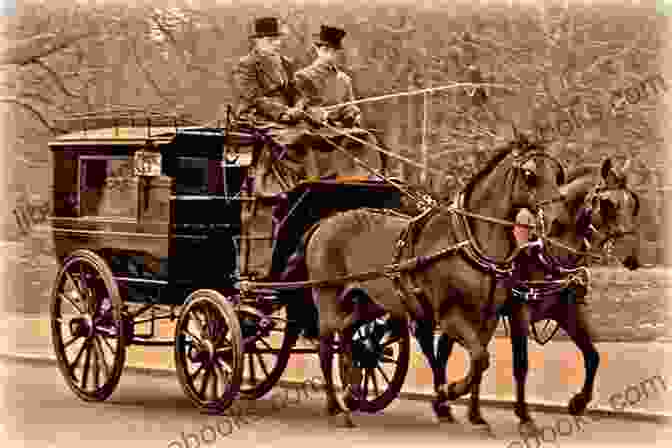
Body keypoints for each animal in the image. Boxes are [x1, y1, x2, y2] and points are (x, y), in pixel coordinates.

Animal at [304, 134, 568, 428]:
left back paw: (351, 391)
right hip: (327, 298)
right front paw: (449, 391)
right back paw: (336, 407)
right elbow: (478, 357)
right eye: (530, 174)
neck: (469, 242)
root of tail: (324, 223)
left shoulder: (488, 317)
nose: (558, 220)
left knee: (349, 334)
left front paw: (454, 402)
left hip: (367, 302)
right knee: (326, 348)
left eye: (557, 174)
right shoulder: (450, 316)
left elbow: (479, 359)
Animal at [434, 159, 644, 432]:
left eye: (634, 203)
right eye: (608, 204)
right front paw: (524, 415)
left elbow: (592, 356)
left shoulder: (567, 311)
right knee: (449, 351)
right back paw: (446, 404)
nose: (632, 257)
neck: (547, 249)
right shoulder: (519, 313)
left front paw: (579, 402)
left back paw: (469, 412)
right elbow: (521, 364)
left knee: (465, 352)